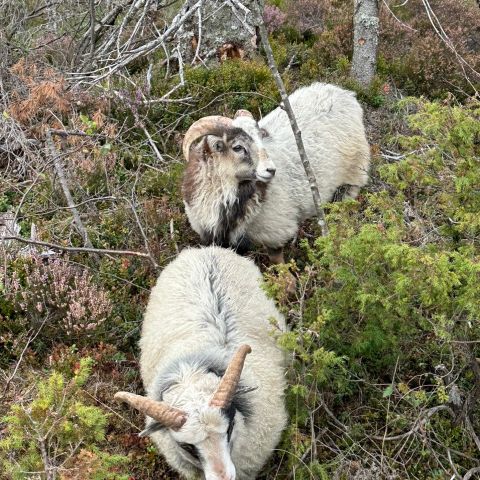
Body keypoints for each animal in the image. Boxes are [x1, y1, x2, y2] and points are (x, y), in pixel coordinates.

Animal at [182, 82, 370, 262]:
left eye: (261, 138)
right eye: (237, 147)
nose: (271, 170)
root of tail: (345, 94)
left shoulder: (275, 232)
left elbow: (278, 263)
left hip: (355, 169)